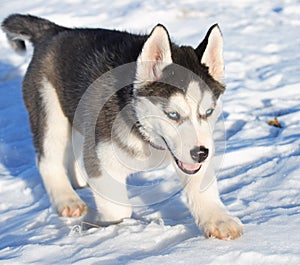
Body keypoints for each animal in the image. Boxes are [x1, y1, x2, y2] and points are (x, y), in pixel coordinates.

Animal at [1, 13, 243, 238]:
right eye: (172, 114)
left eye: (208, 112)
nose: (200, 153)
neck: (143, 131)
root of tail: (55, 31)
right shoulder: (103, 159)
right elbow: (118, 210)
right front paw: (118, 229)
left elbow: (202, 186)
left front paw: (218, 220)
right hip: (50, 109)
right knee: (48, 159)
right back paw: (67, 199)